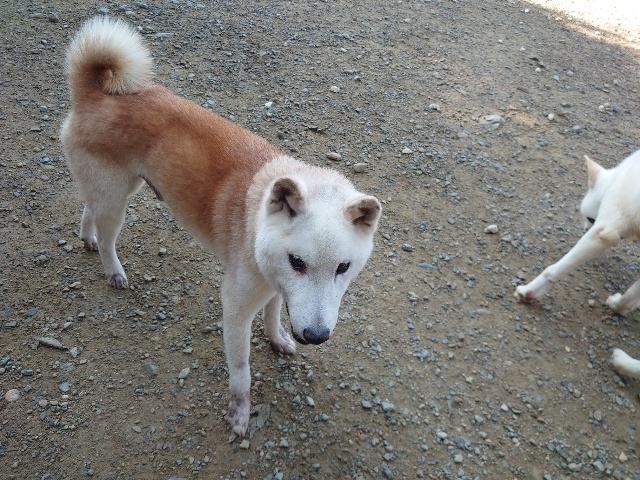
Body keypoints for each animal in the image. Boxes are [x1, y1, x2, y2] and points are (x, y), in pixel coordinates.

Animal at [61, 17, 381, 436]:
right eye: (298, 262)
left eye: (344, 268)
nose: (315, 337)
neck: (257, 225)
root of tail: (94, 92)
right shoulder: (236, 307)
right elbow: (241, 372)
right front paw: (240, 413)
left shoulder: (276, 288)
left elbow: (274, 315)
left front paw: (278, 339)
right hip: (117, 200)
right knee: (107, 236)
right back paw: (113, 270)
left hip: (115, 190)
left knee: (89, 210)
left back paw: (87, 238)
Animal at [514, 150, 640, 377]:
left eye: (590, 219)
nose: (584, 228)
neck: (620, 176)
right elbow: (631, 295)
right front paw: (618, 306)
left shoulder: (604, 231)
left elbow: (554, 269)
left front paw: (529, 291)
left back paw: (623, 363)